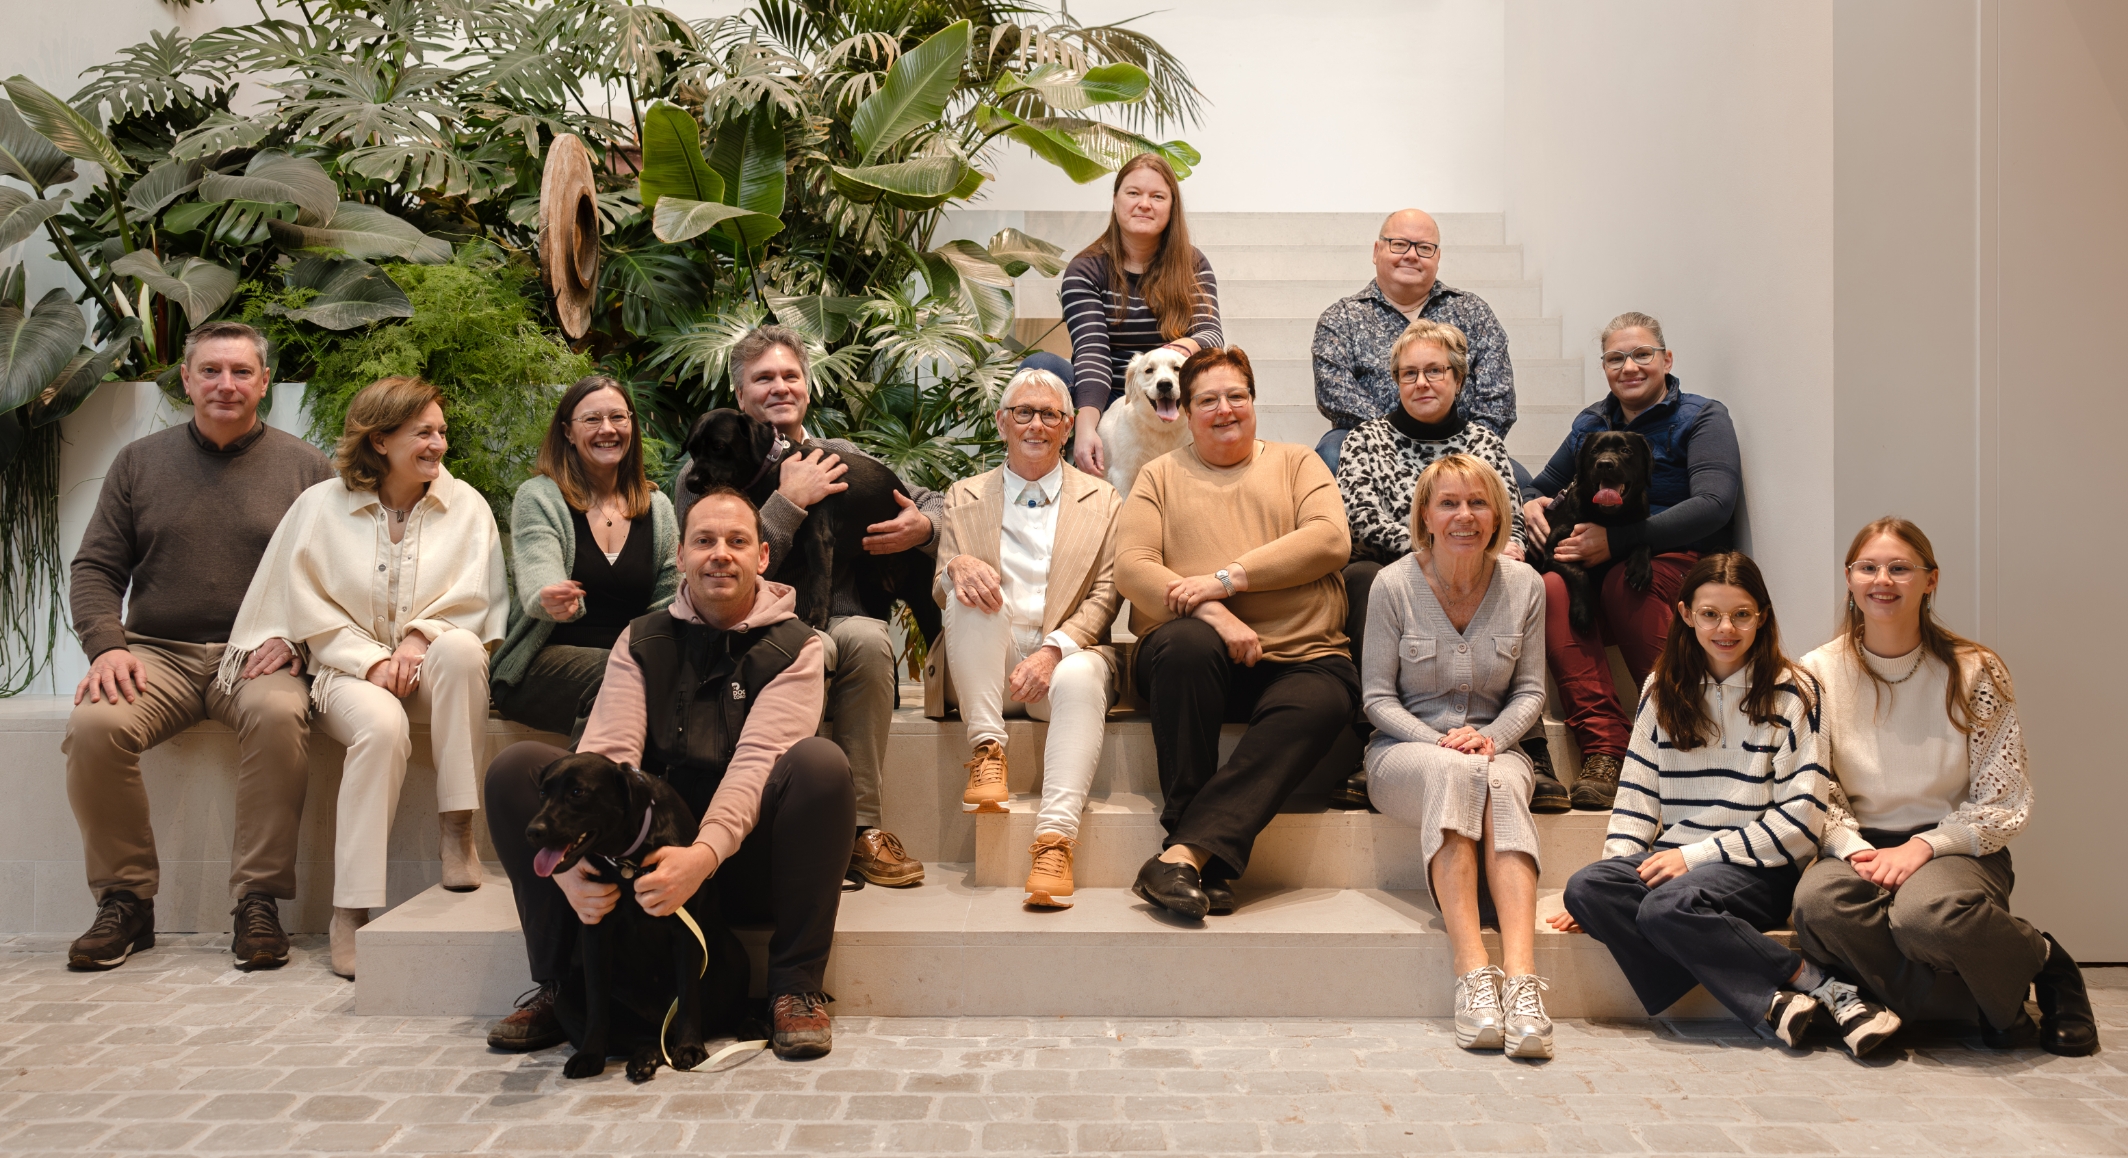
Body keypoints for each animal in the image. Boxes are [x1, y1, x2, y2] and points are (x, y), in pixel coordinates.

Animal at [525, 749, 753, 1085]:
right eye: (542, 793)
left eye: (577, 792)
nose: (533, 831)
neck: (628, 862)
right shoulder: (596, 927)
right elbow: (597, 1002)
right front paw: (590, 1055)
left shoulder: (684, 929)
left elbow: (688, 996)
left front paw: (689, 1048)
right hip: (566, 1000)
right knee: (644, 1039)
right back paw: (644, 1059)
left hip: (734, 956)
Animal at [1532, 429, 1659, 634]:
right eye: (1594, 451)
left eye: (1626, 450)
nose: (1605, 464)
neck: (1608, 517)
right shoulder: (1554, 552)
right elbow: (1579, 573)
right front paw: (1582, 612)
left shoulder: (1639, 524)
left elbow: (1642, 540)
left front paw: (1640, 568)